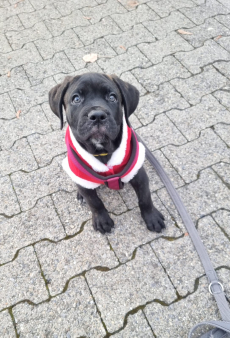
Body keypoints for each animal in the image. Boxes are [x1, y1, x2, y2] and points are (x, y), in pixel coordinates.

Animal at [48, 72, 164, 234]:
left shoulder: (138, 174)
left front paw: (151, 217)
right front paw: (102, 220)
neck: (103, 152)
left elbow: (145, 197)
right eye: (76, 99)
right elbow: (95, 203)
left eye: (112, 97)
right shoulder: (82, 177)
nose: (97, 115)